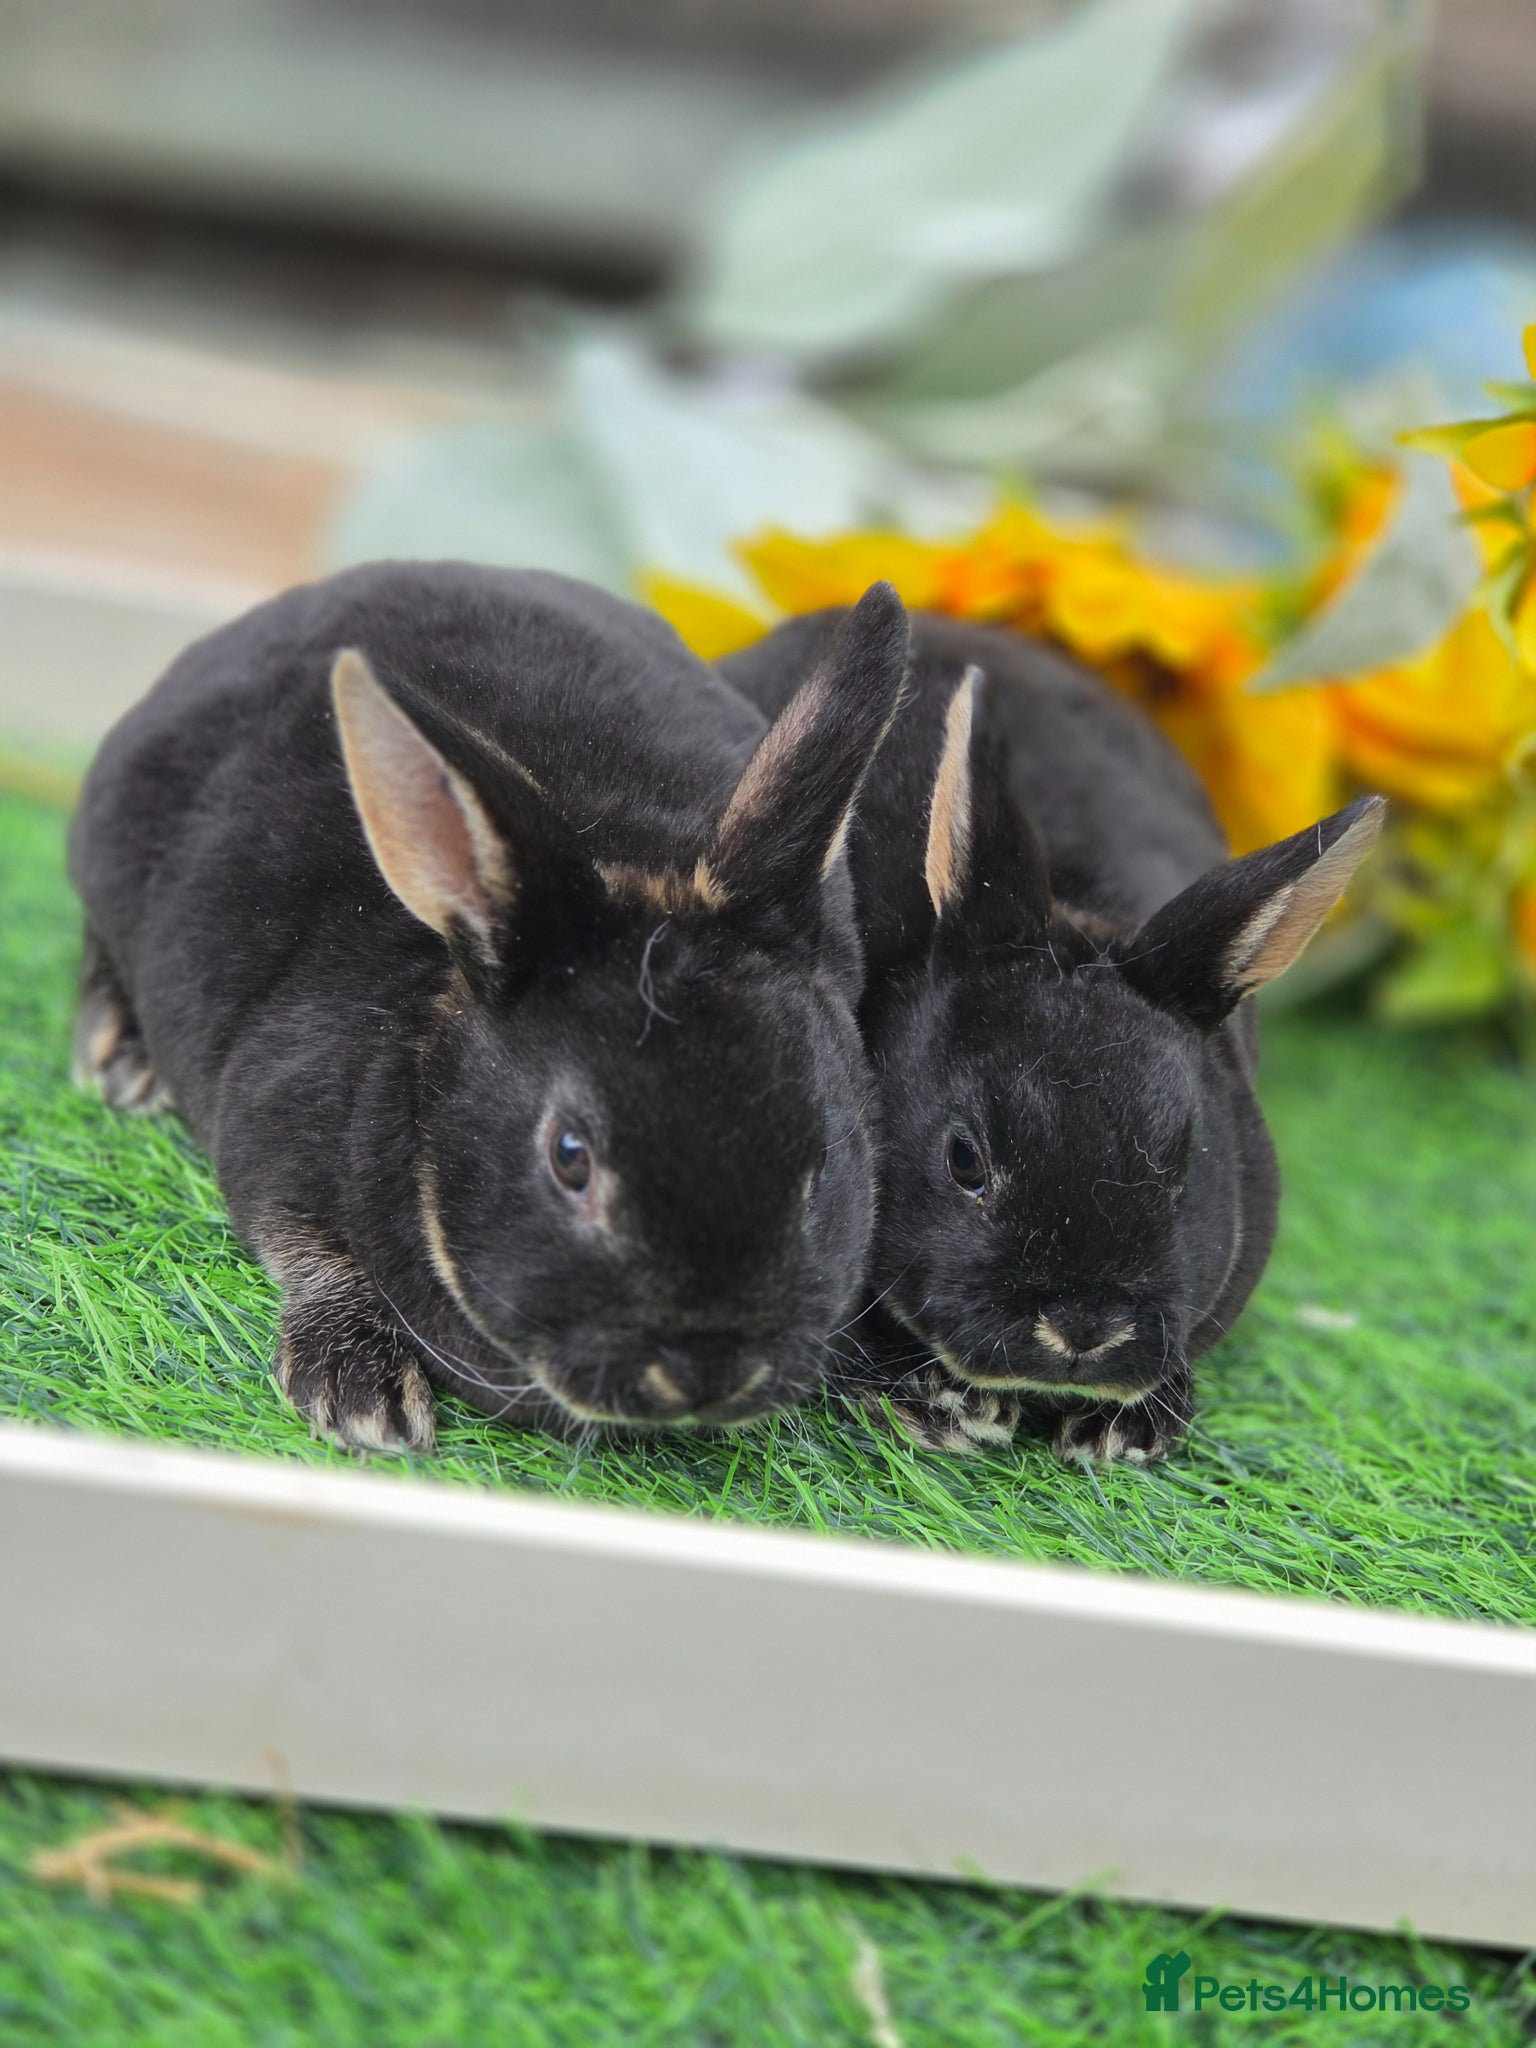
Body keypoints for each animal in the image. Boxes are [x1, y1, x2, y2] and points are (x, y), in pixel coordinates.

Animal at [69, 563, 911, 1453]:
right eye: (570, 1158)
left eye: (823, 1159)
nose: (708, 1372)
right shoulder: (274, 1124)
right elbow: (304, 1247)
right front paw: (361, 1394)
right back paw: (120, 1058)